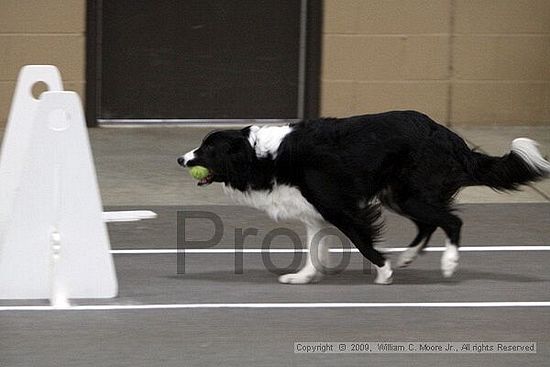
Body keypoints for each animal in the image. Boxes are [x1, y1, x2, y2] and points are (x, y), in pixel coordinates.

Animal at [179, 110, 548, 286]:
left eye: (208, 149)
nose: (181, 159)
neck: (263, 155)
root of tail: (450, 136)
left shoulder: (340, 208)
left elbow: (362, 240)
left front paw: (383, 272)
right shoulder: (315, 212)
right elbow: (314, 249)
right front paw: (304, 277)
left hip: (408, 194)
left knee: (451, 220)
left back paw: (448, 263)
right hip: (397, 195)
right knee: (429, 224)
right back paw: (408, 258)